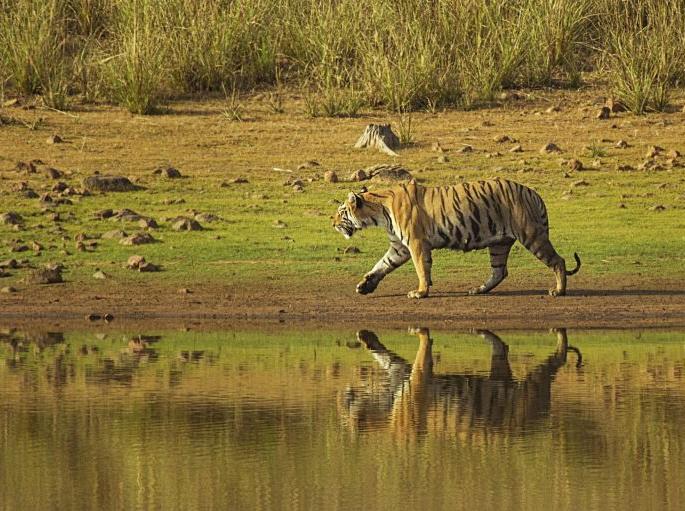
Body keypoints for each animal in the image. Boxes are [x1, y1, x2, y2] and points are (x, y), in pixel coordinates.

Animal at [332, 178, 580, 298]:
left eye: (342, 211)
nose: (332, 223)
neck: (379, 212)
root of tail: (534, 192)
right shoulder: (399, 246)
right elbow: (382, 265)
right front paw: (365, 285)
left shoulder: (416, 243)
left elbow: (421, 269)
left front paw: (421, 292)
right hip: (500, 243)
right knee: (499, 272)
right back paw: (478, 290)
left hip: (531, 235)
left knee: (558, 261)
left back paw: (559, 291)